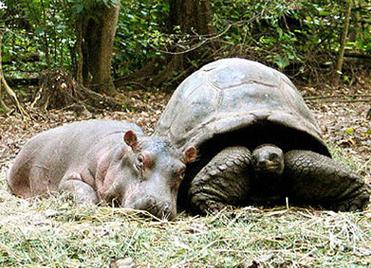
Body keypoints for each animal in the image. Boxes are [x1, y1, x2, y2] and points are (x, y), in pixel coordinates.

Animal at [6, 120, 198, 220]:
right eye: (140, 159)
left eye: (182, 171)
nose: (158, 204)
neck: (116, 154)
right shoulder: (72, 175)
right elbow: (81, 189)